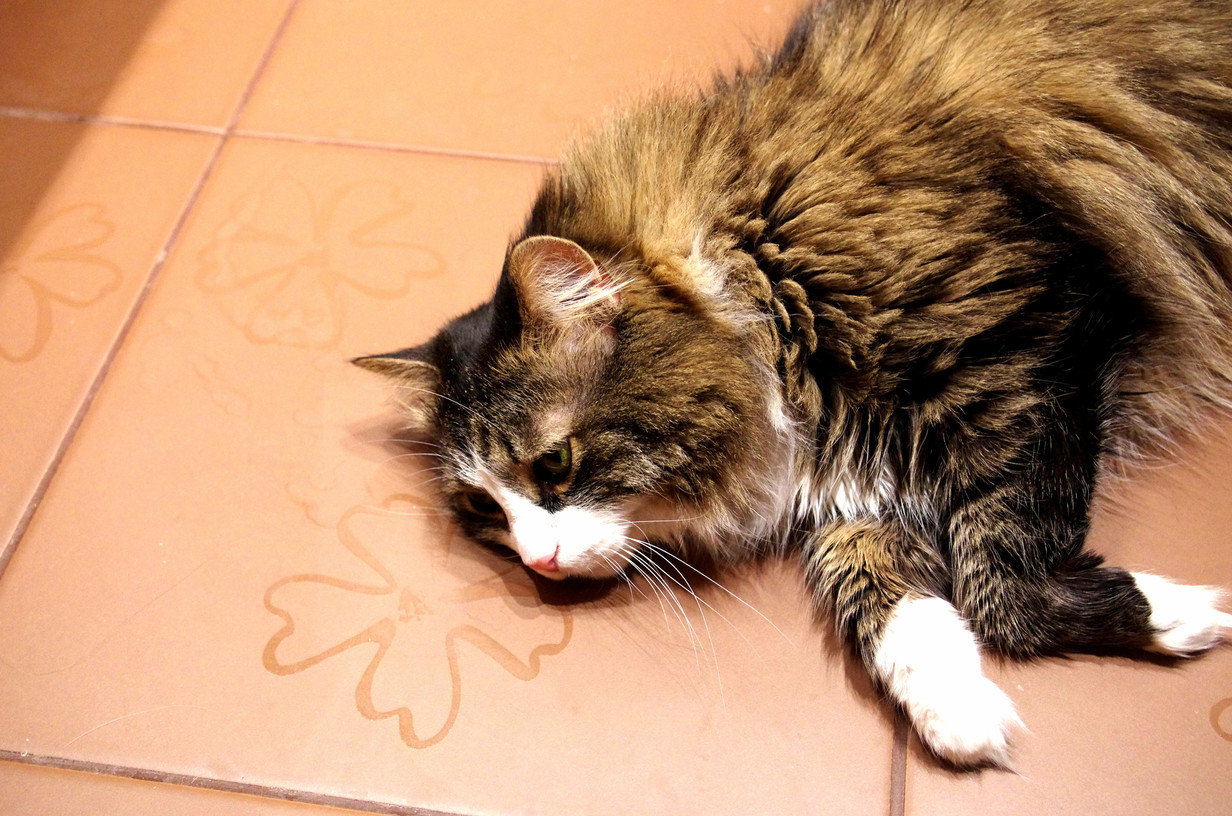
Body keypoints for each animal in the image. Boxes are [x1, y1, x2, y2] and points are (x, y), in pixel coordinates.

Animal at [354, 0, 1232, 769]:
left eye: (555, 464)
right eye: (481, 509)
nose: (538, 564)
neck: (761, 278)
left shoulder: (1034, 341)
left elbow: (1001, 584)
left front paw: (1192, 616)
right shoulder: (869, 470)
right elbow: (882, 593)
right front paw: (952, 706)